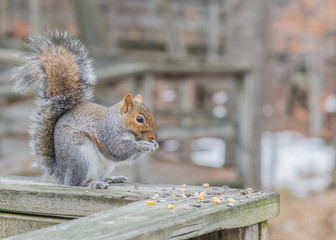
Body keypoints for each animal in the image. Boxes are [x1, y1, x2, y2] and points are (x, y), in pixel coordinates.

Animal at [12, 31, 159, 188]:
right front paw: (143, 145)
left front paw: (153, 145)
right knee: (76, 182)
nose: (154, 137)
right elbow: (117, 150)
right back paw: (92, 183)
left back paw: (112, 178)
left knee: (100, 176)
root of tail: (62, 174)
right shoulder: (107, 133)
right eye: (139, 119)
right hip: (80, 156)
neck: (118, 122)